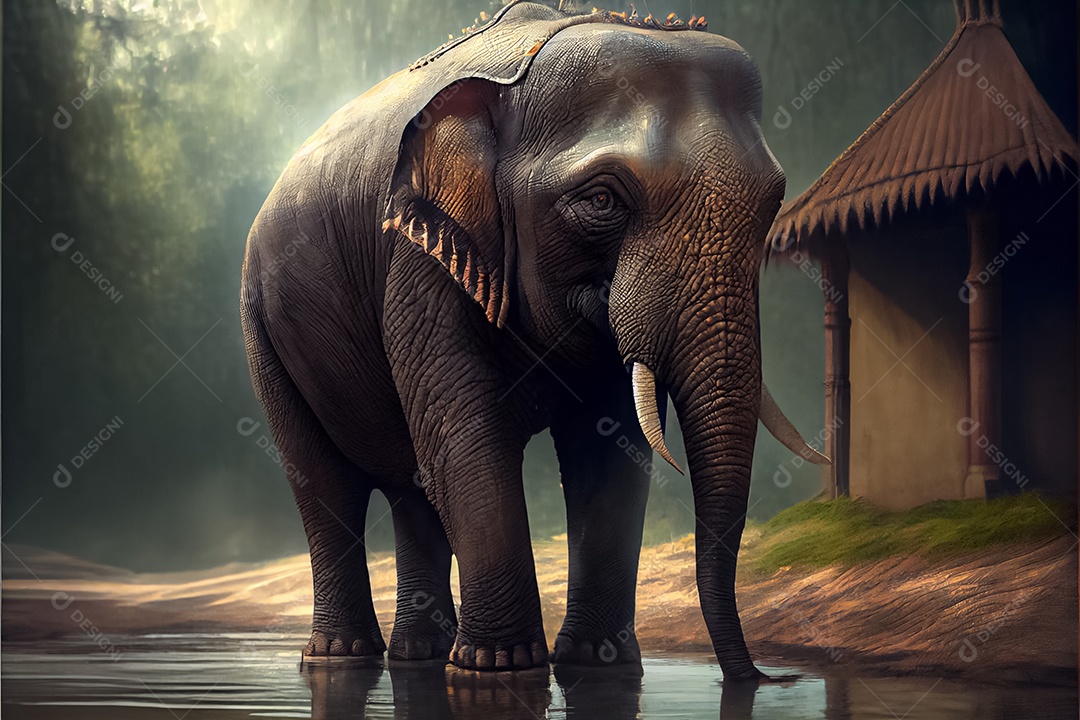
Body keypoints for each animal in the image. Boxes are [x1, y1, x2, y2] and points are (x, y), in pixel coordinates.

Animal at [241, 1, 827, 679]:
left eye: (775, 202)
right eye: (602, 198)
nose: (767, 678)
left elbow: (607, 448)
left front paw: (596, 664)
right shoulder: (419, 261)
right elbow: (466, 439)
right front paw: (500, 667)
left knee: (413, 488)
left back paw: (418, 655)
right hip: (261, 329)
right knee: (324, 484)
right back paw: (342, 657)